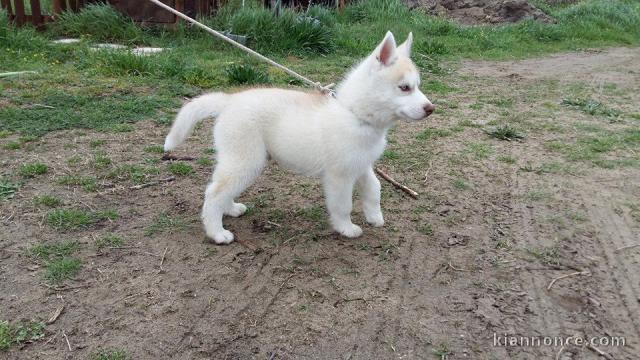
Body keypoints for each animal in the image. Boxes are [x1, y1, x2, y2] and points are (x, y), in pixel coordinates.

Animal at [164, 31, 436, 245]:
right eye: (404, 88)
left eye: (418, 86)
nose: (430, 108)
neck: (356, 114)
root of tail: (229, 100)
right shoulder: (339, 176)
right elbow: (343, 206)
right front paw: (346, 228)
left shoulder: (361, 166)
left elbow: (374, 188)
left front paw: (374, 217)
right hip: (246, 161)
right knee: (214, 192)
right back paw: (217, 233)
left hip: (245, 162)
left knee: (223, 189)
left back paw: (230, 209)